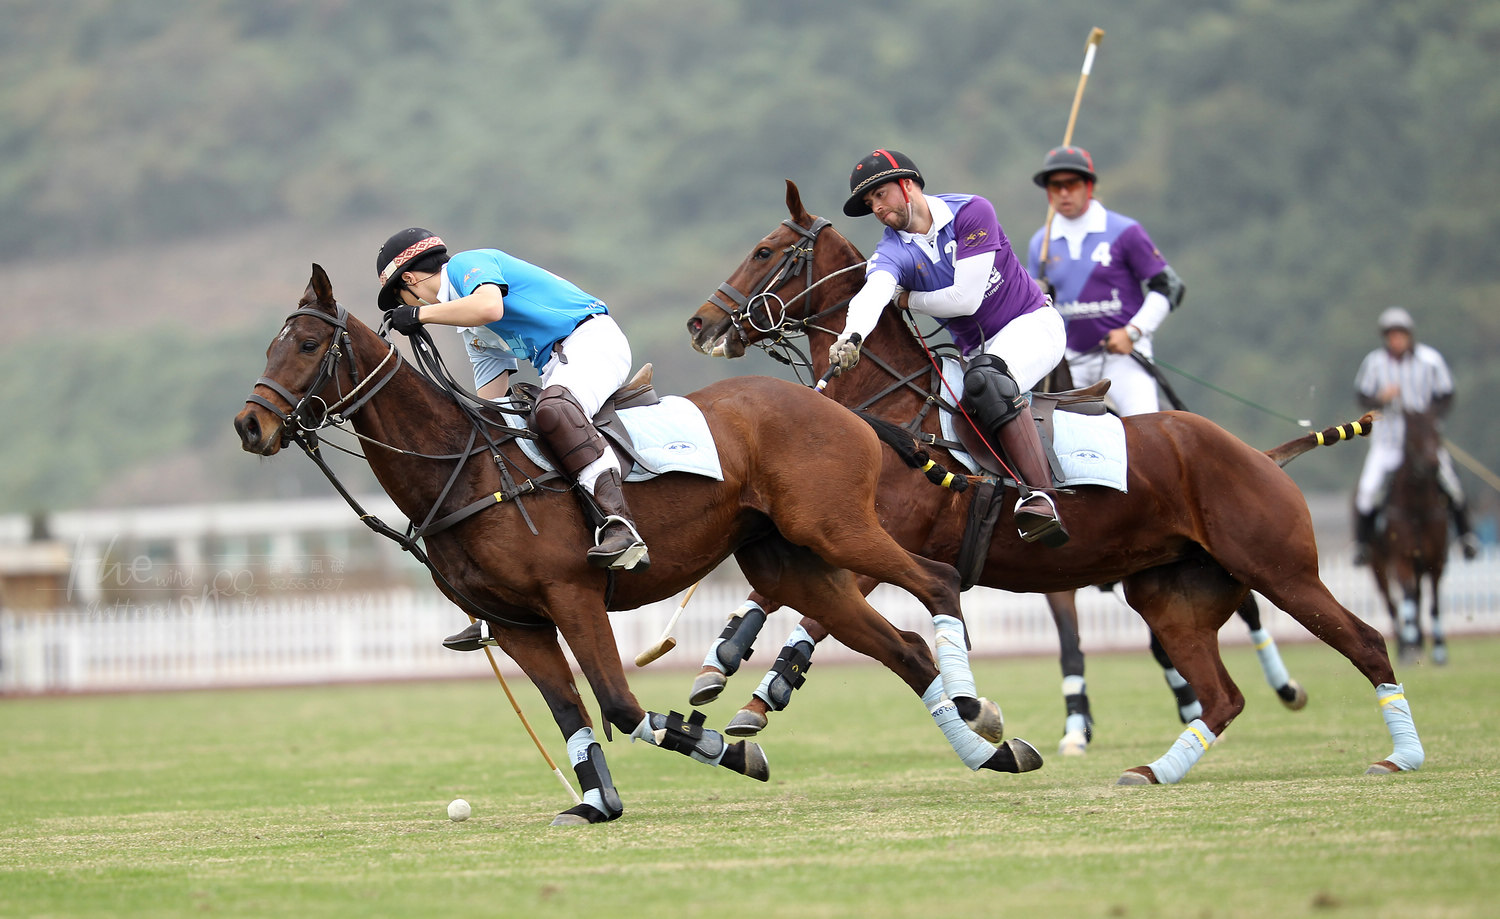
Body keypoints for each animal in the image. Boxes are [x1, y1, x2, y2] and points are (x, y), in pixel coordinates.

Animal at [234, 263, 1044, 821]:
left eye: (306, 342)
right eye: (271, 345)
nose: (251, 424)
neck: (463, 468)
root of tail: (839, 407)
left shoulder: (571, 594)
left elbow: (620, 706)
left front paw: (729, 748)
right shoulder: (516, 622)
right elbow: (572, 716)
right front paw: (596, 804)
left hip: (838, 526)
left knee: (937, 581)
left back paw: (975, 710)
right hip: (791, 561)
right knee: (901, 648)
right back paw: (993, 751)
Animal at [687, 182, 1422, 785]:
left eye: (763, 251)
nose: (701, 323)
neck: (890, 413)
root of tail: (1262, 454)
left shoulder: (887, 542)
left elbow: (819, 616)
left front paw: (769, 694)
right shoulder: (836, 536)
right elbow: (769, 598)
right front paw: (724, 670)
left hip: (1280, 566)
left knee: (1364, 641)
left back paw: (1399, 756)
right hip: (1172, 593)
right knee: (1222, 694)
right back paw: (1154, 771)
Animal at [1374, 407, 1452, 659]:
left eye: (1437, 430)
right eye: (1413, 434)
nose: (1433, 464)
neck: (1417, 508)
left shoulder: (1436, 561)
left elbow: (1434, 602)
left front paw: (1439, 649)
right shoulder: (1402, 558)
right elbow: (1407, 595)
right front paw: (1409, 647)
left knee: (1417, 598)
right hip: (1378, 565)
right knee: (1392, 603)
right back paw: (1406, 643)